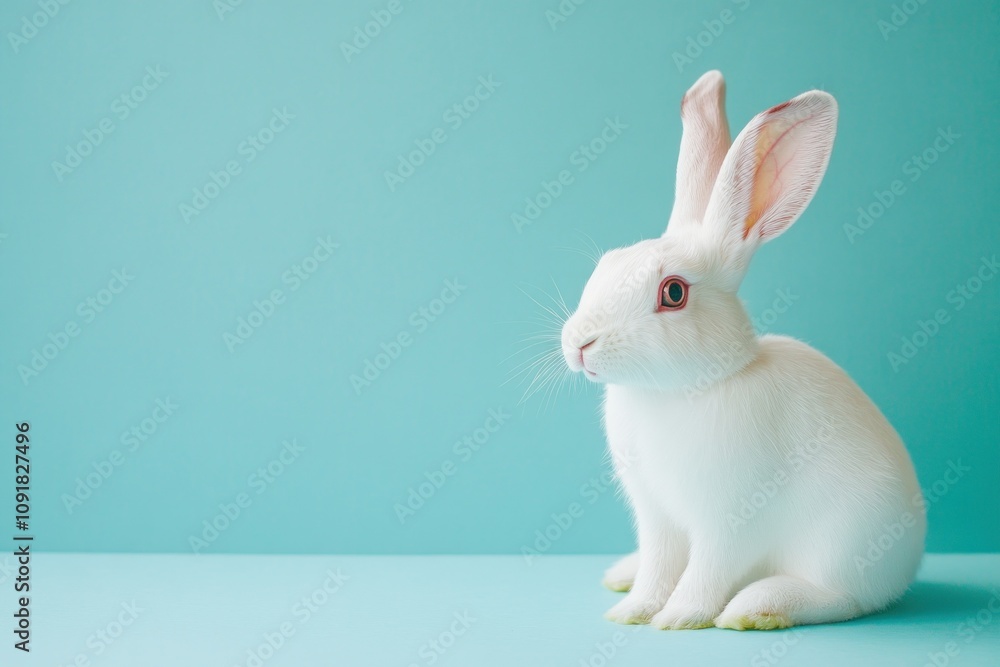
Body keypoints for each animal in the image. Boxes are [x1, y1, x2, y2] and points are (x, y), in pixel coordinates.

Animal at [560, 71, 925, 630]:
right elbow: (658, 568)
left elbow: (707, 571)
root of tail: (908, 563)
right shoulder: (658, 518)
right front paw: (632, 610)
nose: (579, 344)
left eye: (673, 293)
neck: (683, 391)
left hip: (840, 548)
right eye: (607, 264)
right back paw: (621, 574)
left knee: (844, 599)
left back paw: (758, 607)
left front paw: (678, 617)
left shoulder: (728, 519)